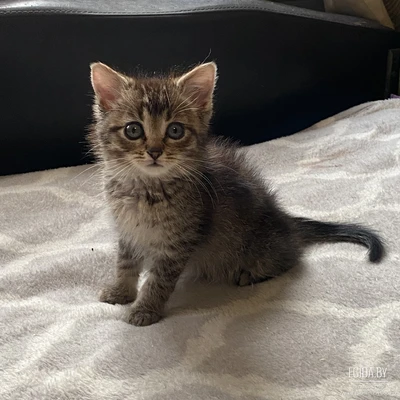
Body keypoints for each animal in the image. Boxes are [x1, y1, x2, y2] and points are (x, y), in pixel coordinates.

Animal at [88, 61, 384, 326]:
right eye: (133, 130)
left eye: (175, 130)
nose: (154, 151)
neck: (145, 189)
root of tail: (285, 219)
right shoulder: (127, 232)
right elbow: (125, 264)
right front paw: (121, 292)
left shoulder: (178, 243)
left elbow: (158, 280)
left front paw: (145, 309)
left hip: (262, 246)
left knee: (291, 258)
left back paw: (250, 273)